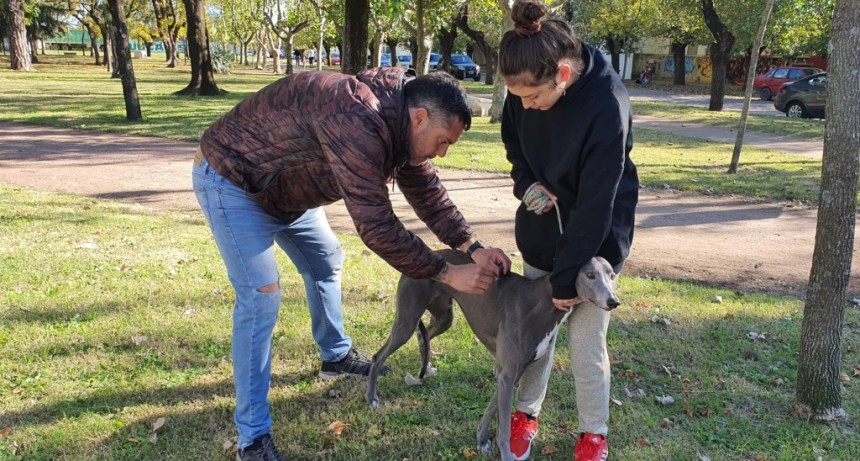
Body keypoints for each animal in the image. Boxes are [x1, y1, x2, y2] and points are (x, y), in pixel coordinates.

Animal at [362, 252, 620, 460]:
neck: (543, 300)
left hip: (444, 317)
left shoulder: (510, 372)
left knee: (421, 336)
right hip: (406, 319)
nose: (613, 302)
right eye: (589, 274)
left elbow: (492, 409)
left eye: (612, 275)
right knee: (378, 356)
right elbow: (503, 429)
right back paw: (372, 397)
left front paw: (481, 440)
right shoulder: (507, 374)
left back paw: (426, 369)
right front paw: (505, 454)